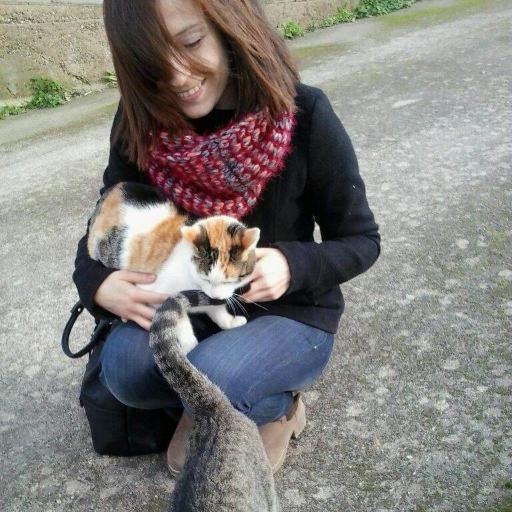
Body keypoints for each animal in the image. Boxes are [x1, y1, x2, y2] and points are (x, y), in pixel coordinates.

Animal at [87, 182, 260, 354]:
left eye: (229, 281)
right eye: (206, 279)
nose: (216, 297)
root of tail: (114, 189)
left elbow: (217, 311)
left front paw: (230, 322)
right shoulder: (155, 295)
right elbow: (177, 318)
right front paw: (188, 345)